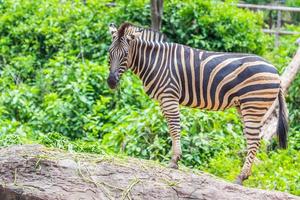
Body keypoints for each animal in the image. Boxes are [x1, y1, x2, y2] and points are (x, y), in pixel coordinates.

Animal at [107, 21, 288, 184]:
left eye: (125, 54)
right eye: (109, 53)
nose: (111, 82)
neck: (155, 61)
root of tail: (275, 71)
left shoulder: (169, 96)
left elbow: (174, 128)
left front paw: (174, 161)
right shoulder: (164, 100)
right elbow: (171, 128)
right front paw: (175, 158)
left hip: (254, 105)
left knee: (254, 140)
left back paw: (240, 177)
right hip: (244, 107)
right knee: (255, 139)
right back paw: (245, 175)